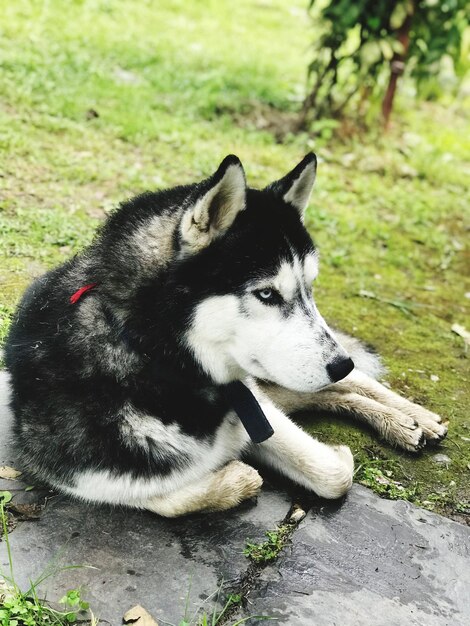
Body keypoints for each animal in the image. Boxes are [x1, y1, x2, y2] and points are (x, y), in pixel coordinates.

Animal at [4, 154, 448, 516]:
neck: (163, 365)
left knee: (342, 388)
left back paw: (413, 417)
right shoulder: (80, 475)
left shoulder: (254, 407)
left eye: (310, 287)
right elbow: (165, 499)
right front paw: (234, 481)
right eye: (266, 293)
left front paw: (339, 454)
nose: (342, 363)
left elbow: (330, 476)